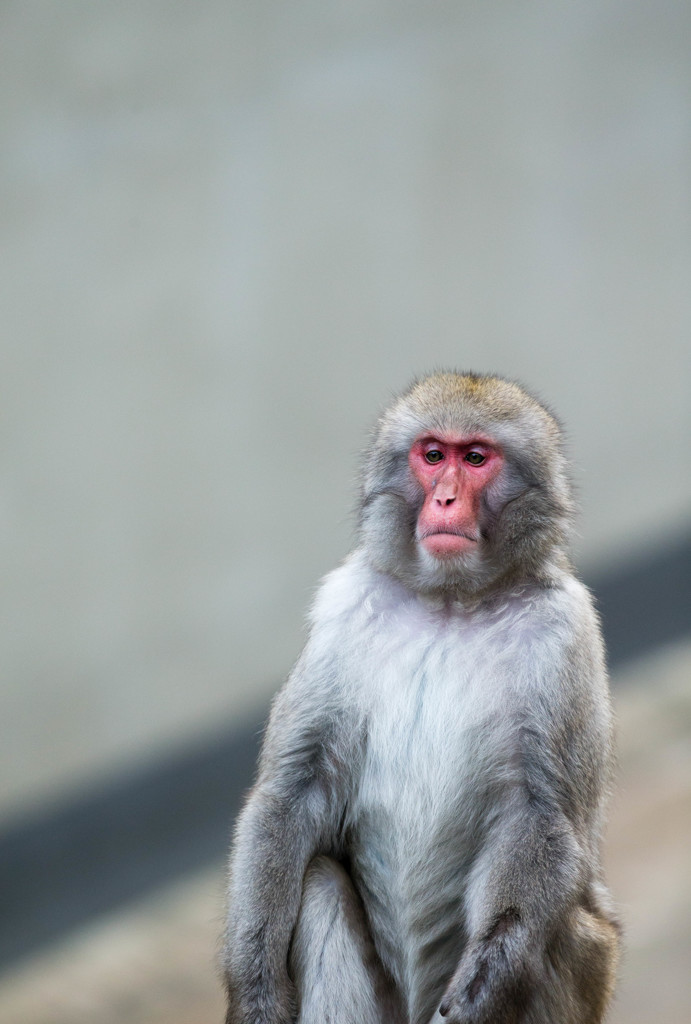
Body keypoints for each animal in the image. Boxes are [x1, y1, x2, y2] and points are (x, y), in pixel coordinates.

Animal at [223, 370, 622, 1024]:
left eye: (476, 458)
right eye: (433, 456)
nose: (445, 500)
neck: (450, 604)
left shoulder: (564, 633)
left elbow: (539, 820)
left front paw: (480, 994)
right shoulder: (341, 610)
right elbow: (291, 794)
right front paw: (254, 991)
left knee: (560, 924)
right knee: (319, 883)